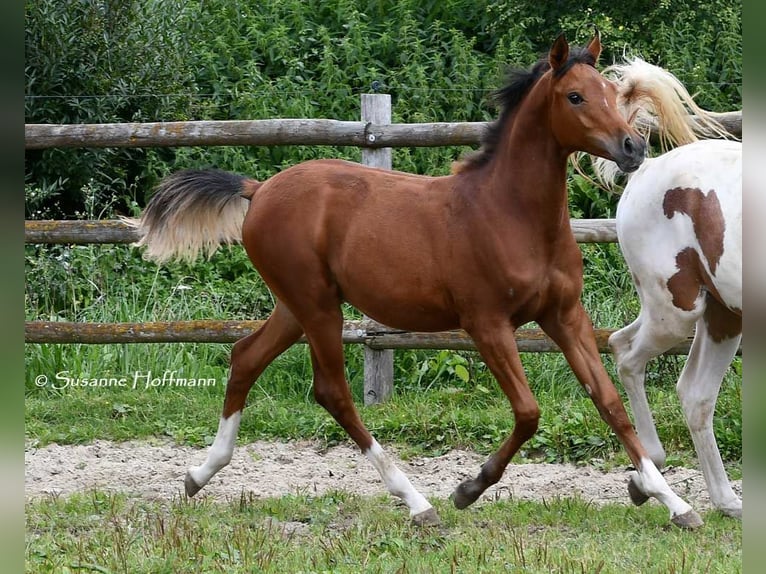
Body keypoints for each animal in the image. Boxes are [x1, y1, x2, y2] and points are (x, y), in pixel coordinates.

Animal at [129, 33, 704, 532]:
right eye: (575, 95)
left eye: (614, 92)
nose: (632, 148)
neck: (511, 214)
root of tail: (259, 188)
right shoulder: (486, 323)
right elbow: (528, 411)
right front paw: (468, 489)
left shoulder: (562, 315)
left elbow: (609, 403)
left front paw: (675, 503)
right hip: (318, 307)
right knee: (332, 391)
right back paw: (416, 502)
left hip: (295, 305)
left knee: (245, 357)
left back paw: (198, 475)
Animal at [592, 57, 744, 516]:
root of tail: (644, 170)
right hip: (676, 310)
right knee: (627, 355)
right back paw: (651, 478)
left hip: (720, 314)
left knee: (693, 393)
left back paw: (726, 501)